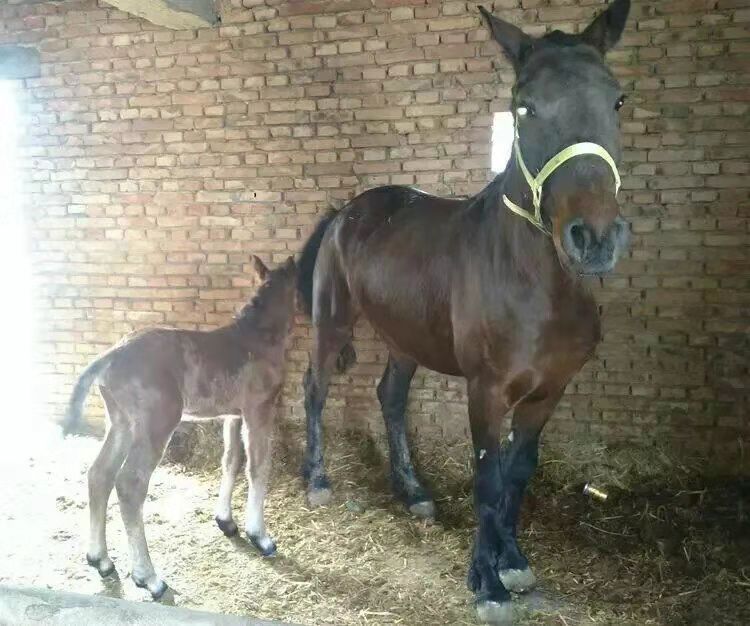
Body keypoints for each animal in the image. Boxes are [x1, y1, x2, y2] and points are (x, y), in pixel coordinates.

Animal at [62, 256, 297, 599]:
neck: (256, 340)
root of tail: (109, 356)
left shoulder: (233, 414)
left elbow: (231, 461)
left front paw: (226, 522)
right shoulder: (259, 409)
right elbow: (258, 467)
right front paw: (260, 536)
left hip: (121, 422)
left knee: (99, 474)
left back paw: (100, 560)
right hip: (156, 424)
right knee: (129, 484)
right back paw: (149, 578)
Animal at [296, 1, 632, 623]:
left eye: (617, 99)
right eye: (523, 106)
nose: (594, 238)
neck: (538, 285)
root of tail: (346, 211)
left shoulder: (548, 393)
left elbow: (517, 474)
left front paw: (513, 561)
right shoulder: (486, 390)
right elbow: (486, 478)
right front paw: (487, 582)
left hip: (404, 339)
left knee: (390, 397)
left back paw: (414, 493)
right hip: (332, 322)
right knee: (315, 389)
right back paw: (318, 480)